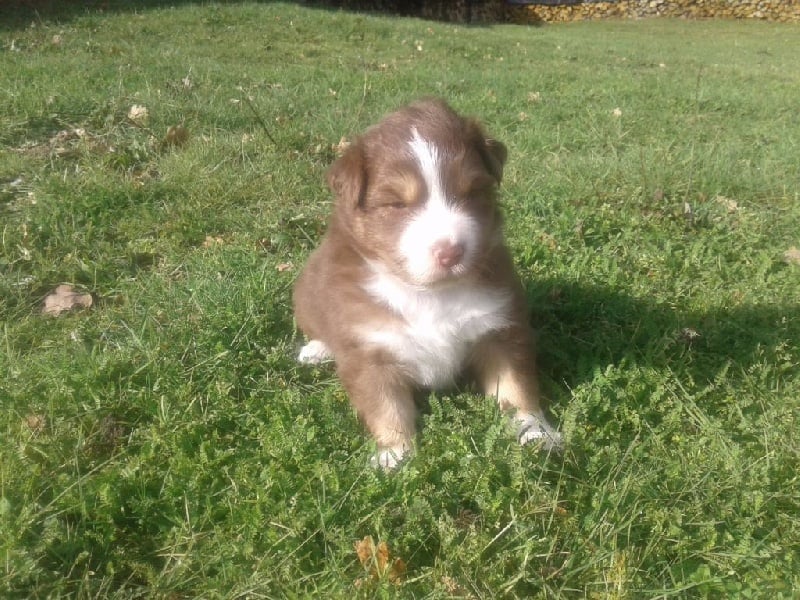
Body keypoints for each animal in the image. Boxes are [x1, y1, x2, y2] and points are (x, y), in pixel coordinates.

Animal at [293, 98, 561, 468]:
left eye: (472, 192)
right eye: (396, 204)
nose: (451, 251)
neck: (430, 294)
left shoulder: (500, 330)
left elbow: (515, 388)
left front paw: (536, 433)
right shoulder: (370, 351)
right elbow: (387, 409)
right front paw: (395, 456)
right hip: (306, 295)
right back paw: (317, 349)